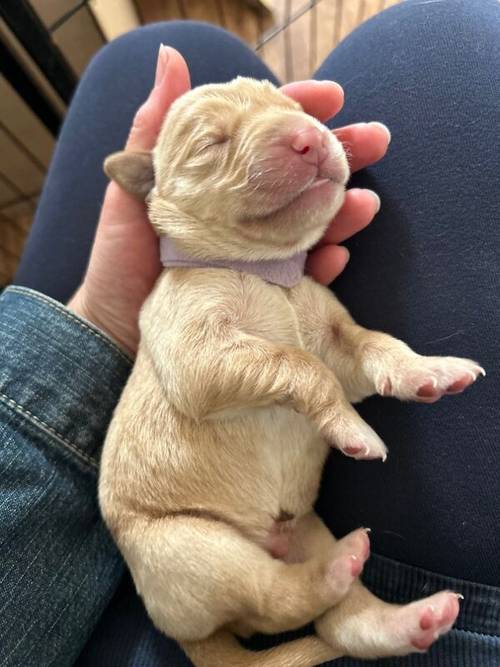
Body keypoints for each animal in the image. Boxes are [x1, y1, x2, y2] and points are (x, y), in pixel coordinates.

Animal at [99, 75, 482, 664]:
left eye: (291, 105)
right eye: (212, 142)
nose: (308, 134)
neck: (267, 270)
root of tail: (193, 637)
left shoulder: (336, 338)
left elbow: (374, 344)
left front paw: (427, 370)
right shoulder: (198, 351)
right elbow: (297, 362)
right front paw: (352, 427)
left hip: (302, 528)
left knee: (344, 624)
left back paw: (411, 619)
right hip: (191, 548)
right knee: (274, 600)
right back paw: (337, 569)